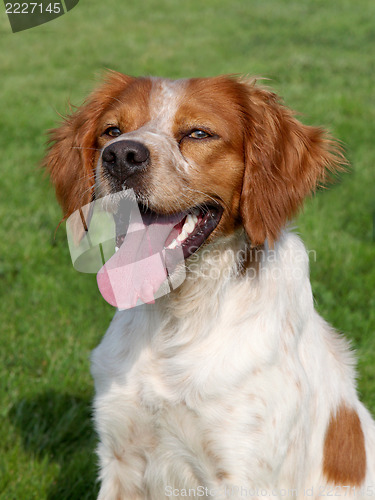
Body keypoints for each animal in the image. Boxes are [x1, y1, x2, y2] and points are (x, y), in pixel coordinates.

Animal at [44, 72, 375, 498]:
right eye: (112, 131)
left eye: (198, 133)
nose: (121, 156)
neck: (175, 322)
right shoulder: (120, 461)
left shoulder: (242, 476)